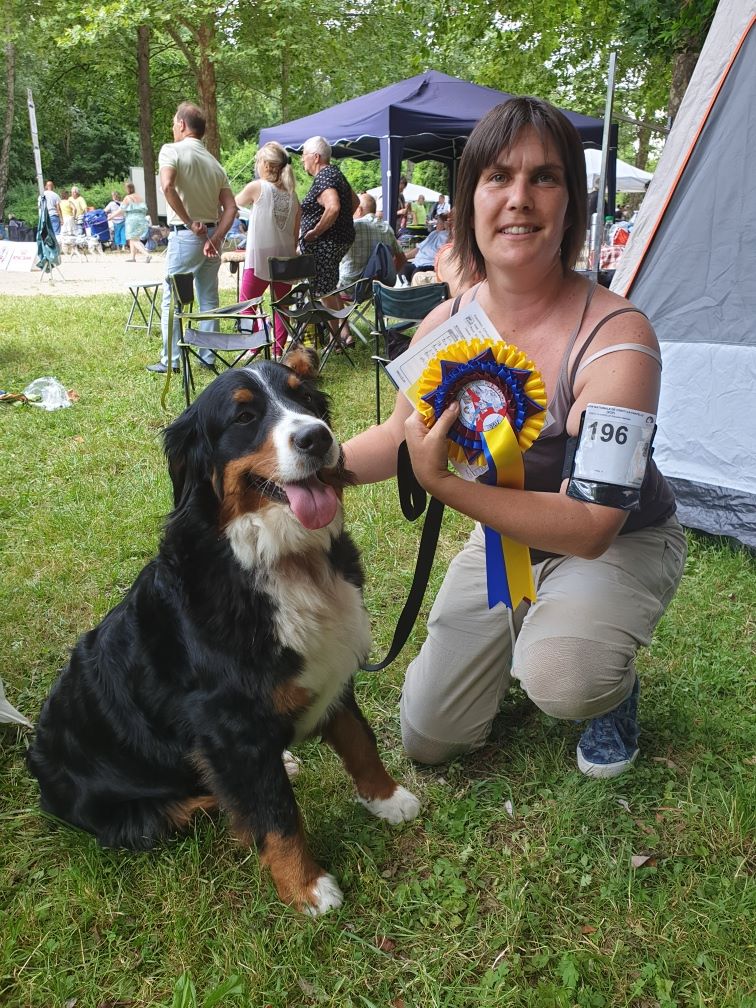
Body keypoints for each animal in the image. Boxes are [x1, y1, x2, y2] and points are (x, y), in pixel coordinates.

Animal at [28, 350, 421, 919]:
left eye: (305, 398)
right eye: (244, 417)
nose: (317, 438)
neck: (281, 561)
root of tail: (38, 762)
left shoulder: (332, 671)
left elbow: (359, 742)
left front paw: (388, 799)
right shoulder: (228, 725)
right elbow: (275, 813)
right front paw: (306, 889)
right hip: (144, 814)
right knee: (207, 797)